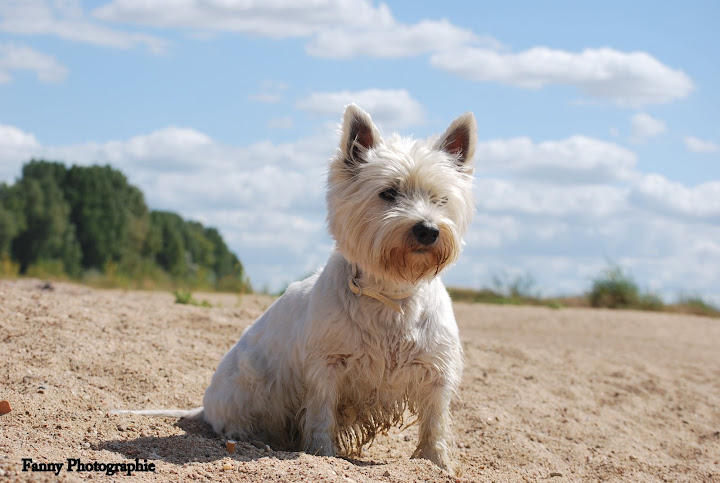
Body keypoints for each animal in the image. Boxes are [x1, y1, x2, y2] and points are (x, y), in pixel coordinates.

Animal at [115, 105, 476, 472]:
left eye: (441, 198)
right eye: (388, 192)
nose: (428, 230)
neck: (391, 295)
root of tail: (204, 405)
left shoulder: (436, 371)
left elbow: (435, 422)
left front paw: (437, 463)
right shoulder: (326, 366)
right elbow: (320, 414)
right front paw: (322, 453)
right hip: (250, 386)